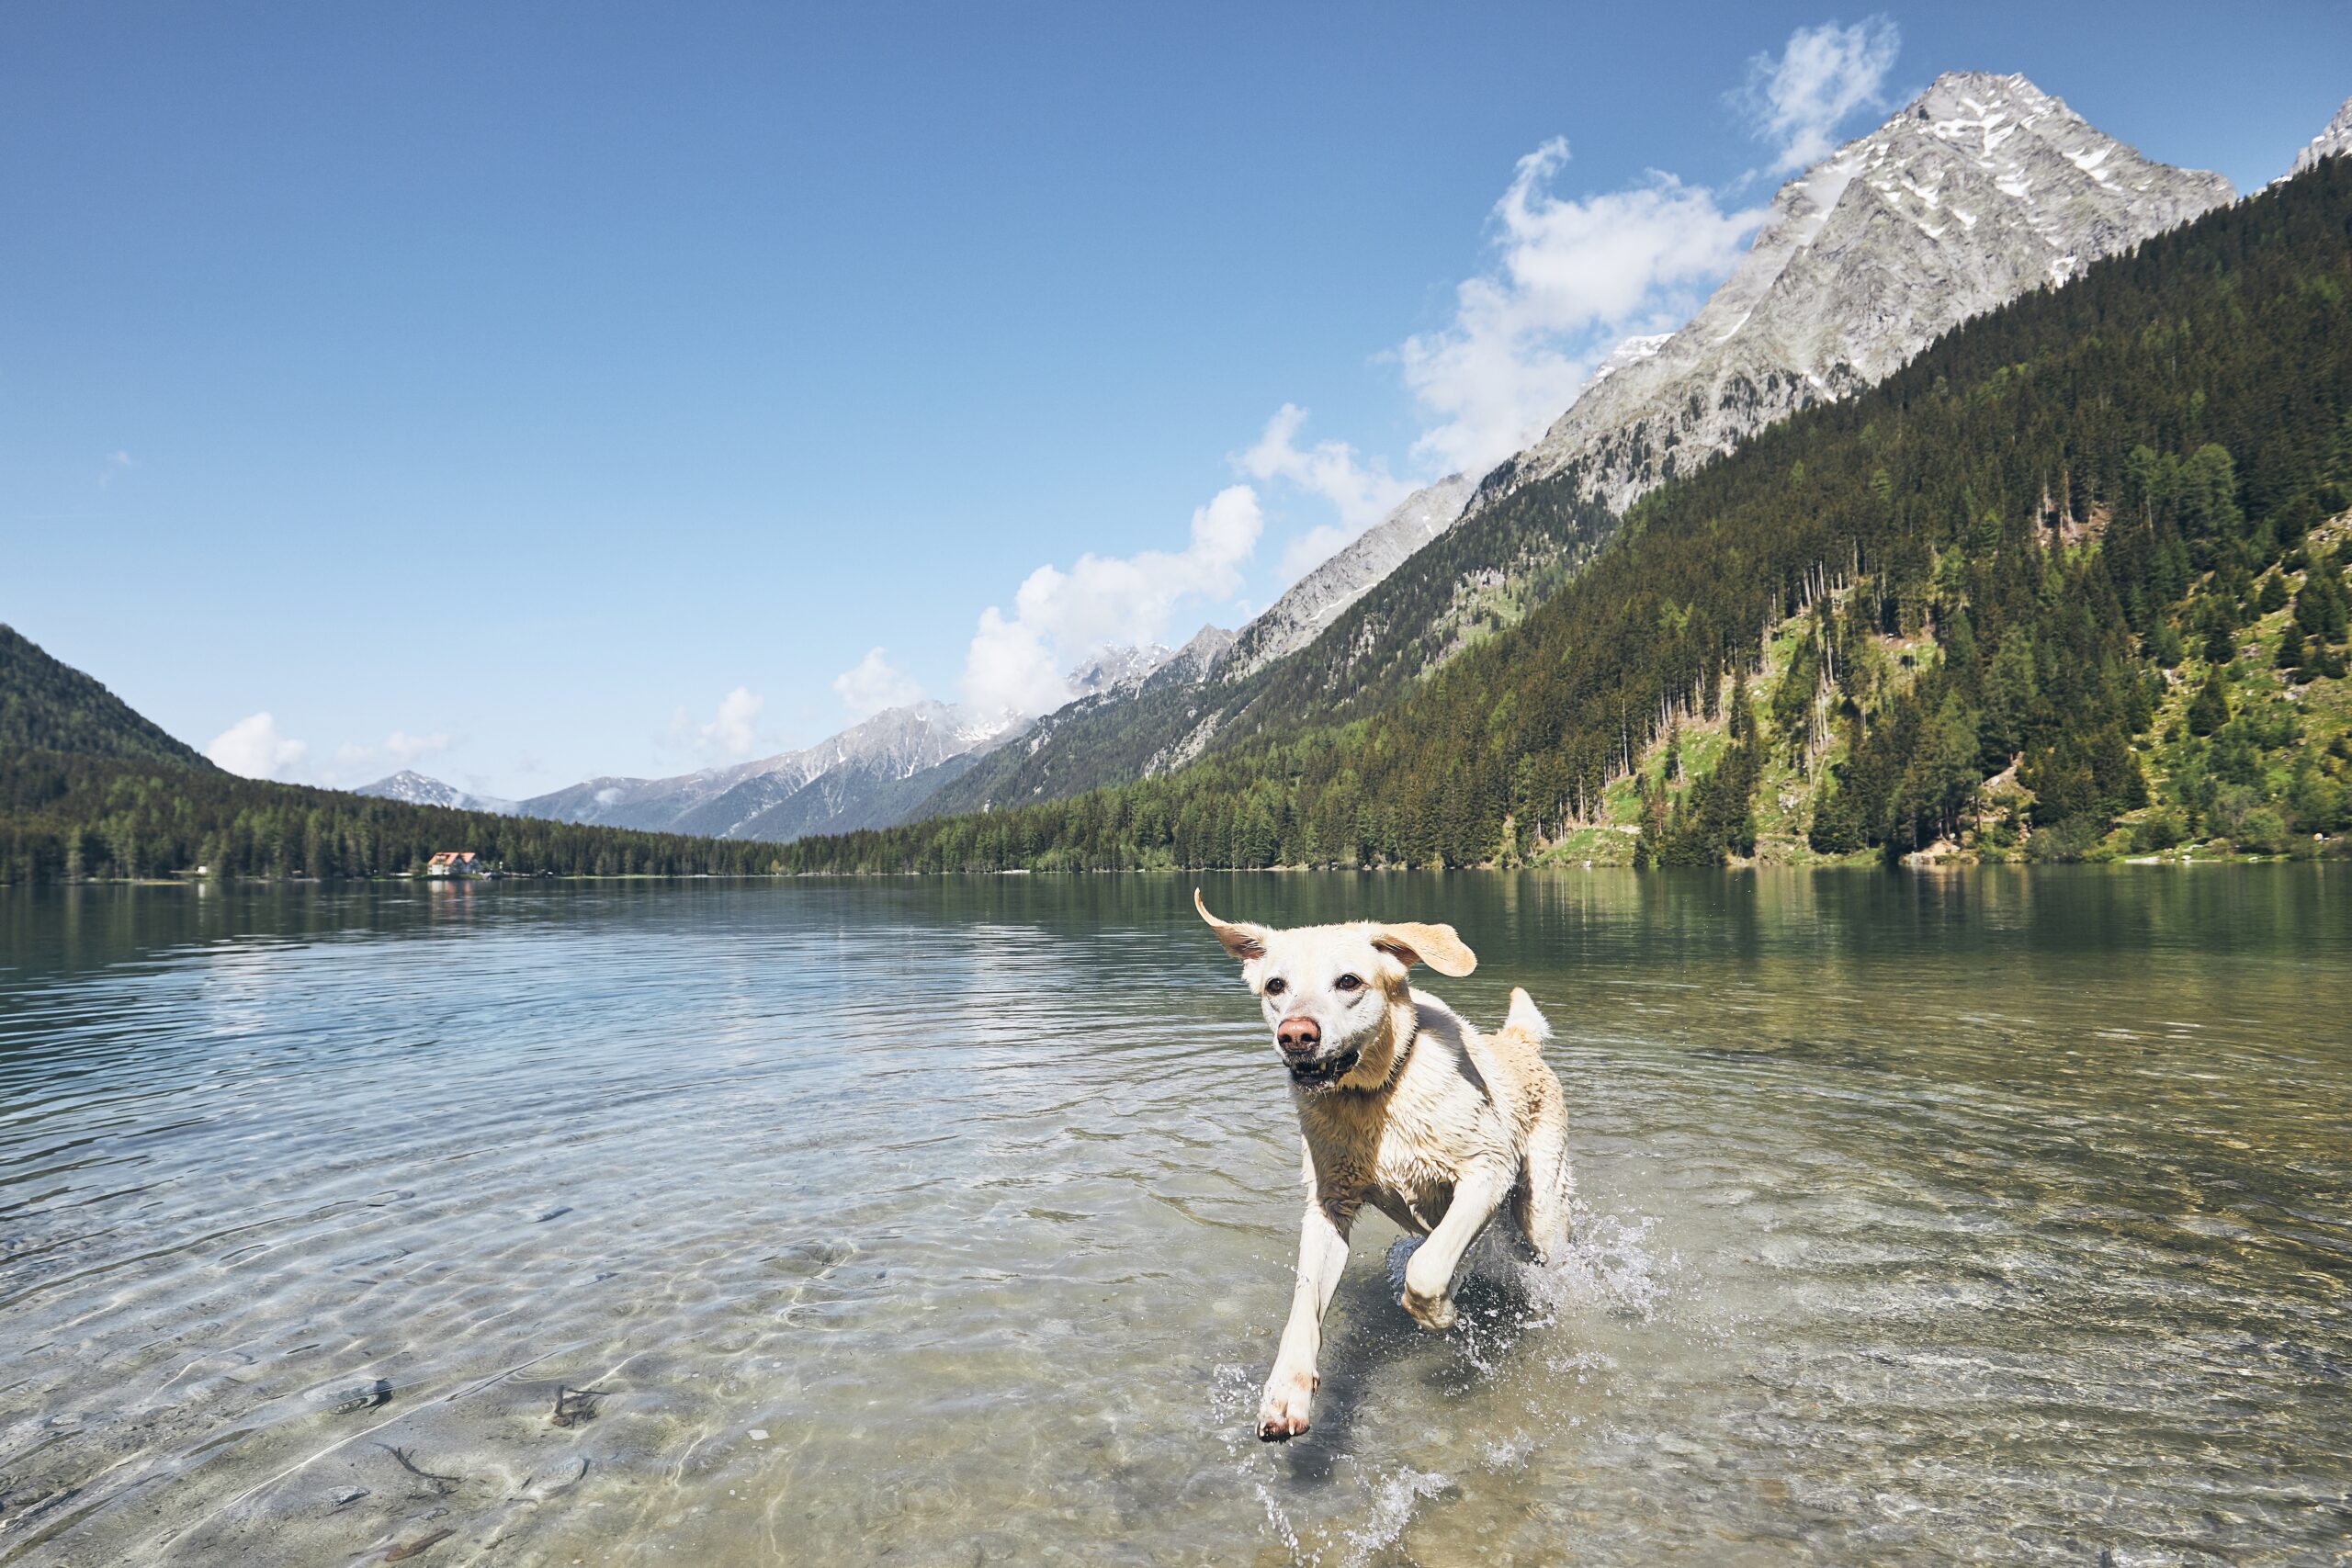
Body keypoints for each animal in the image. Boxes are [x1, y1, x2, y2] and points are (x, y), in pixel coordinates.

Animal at [1204, 893, 1571, 1448]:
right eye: (1275, 986)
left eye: (1349, 981)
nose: (1296, 1036)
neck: (1374, 1096)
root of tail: (1518, 1041)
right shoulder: (1328, 1206)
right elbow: (1303, 1307)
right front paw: (1285, 1394)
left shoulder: (1487, 1170)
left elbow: (1425, 1269)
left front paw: (1441, 1314)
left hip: (1541, 1211)